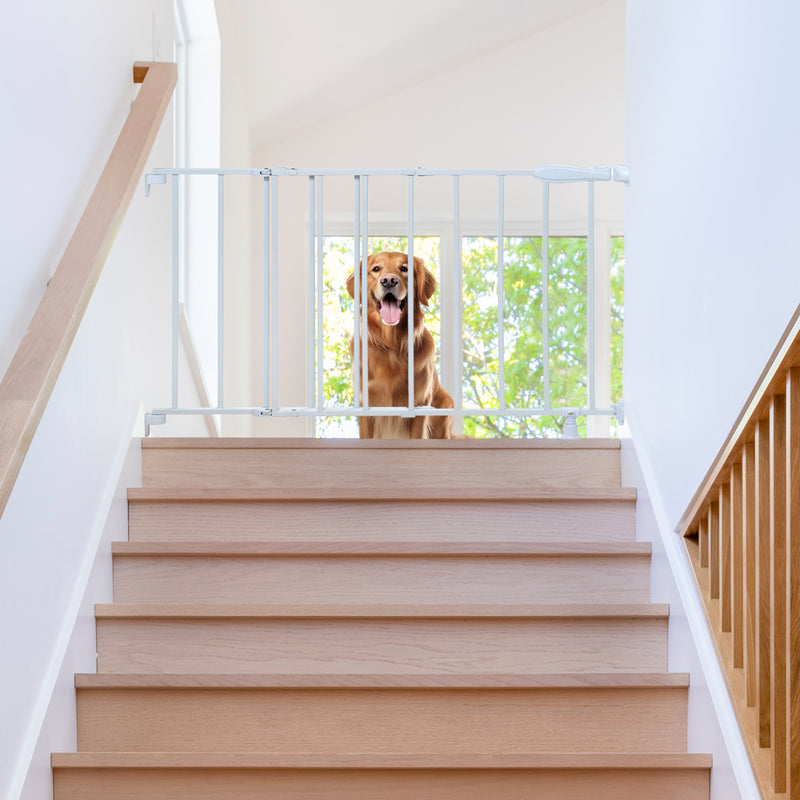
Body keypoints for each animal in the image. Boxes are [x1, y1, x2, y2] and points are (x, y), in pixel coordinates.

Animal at [346, 252, 454, 440]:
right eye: (376, 269)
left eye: (404, 268)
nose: (389, 280)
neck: (391, 346)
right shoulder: (365, 403)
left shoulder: (420, 402)